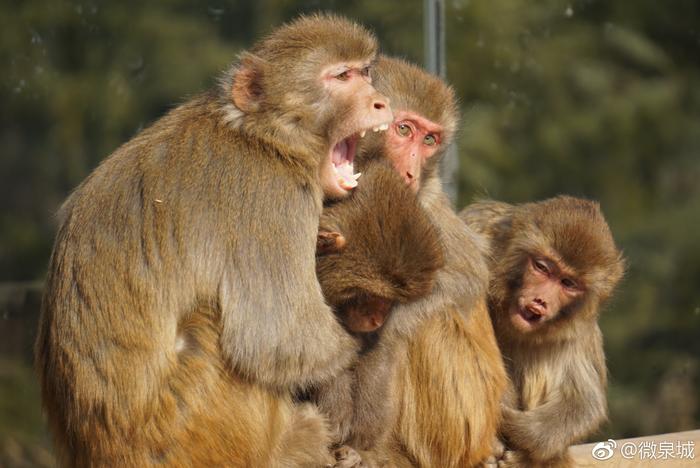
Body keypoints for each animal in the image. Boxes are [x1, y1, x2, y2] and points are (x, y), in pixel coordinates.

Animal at [34, 14, 394, 468]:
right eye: (342, 76)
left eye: (365, 72)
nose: (380, 100)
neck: (264, 137)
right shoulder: (271, 196)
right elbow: (281, 340)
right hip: (193, 426)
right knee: (210, 325)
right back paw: (296, 441)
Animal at [350, 55, 508, 468]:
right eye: (403, 129)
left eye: (429, 140)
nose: (410, 172)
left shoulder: (421, 209)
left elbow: (466, 279)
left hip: (463, 424)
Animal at [462, 196, 628, 466]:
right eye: (542, 267)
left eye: (568, 283)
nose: (540, 301)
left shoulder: (580, 325)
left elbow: (585, 403)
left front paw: (515, 426)